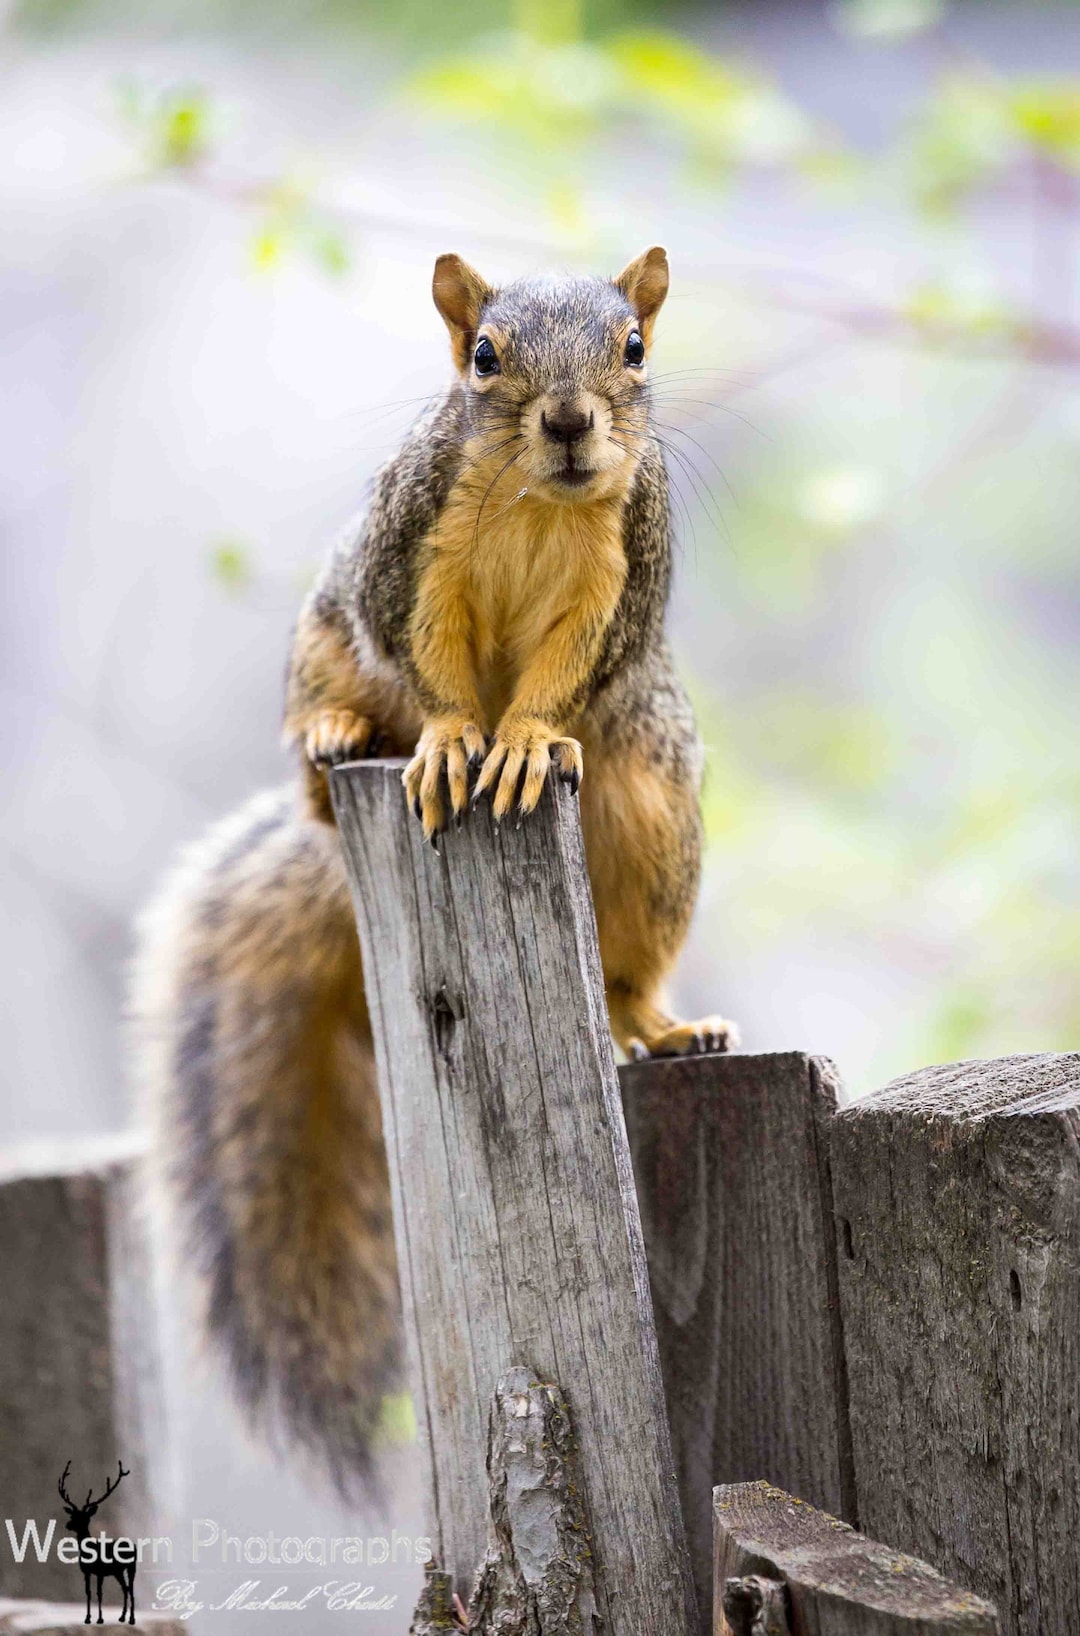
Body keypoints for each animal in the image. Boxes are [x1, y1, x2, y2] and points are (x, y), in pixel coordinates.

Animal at [131, 245, 737, 1493]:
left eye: (634, 348)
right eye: (485, 356)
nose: (571, 422)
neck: (541, 501)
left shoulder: (616, 580)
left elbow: (557, 679)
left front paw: (523, 740)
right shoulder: (413, 551)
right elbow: (434, 660)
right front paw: (459, 736)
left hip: (653, 811)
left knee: (626, 976)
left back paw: (662, 1027)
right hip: (321, 639)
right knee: (332, 725)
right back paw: (334, 743)